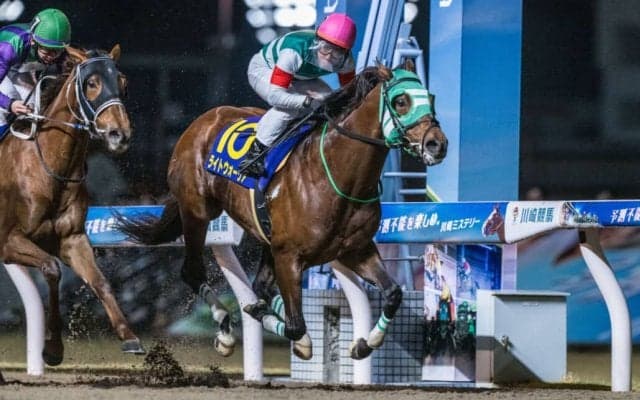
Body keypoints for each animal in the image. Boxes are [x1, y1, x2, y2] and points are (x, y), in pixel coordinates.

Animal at [0, 45, 144, 366]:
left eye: (123, 82)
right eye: (91, 83)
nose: (120, 135)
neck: (49, 168)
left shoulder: (72, 238)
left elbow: (99, 281)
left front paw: (129, 337)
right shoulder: (8, 241)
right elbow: (52, 269)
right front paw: (53, 347)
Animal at [117, 60, 447, 360]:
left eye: (431, 98)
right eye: (401, 101)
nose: (437, 144)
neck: (337, 177)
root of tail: (204, 119)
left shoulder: (355, 250)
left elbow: (393, 293)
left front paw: (366, 342)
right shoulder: (289, 256)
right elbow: (295, 328)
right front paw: (290, 334)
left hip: (265, 238)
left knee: (259, 286)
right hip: (197, 213)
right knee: (193, 271)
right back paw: (225, 330)